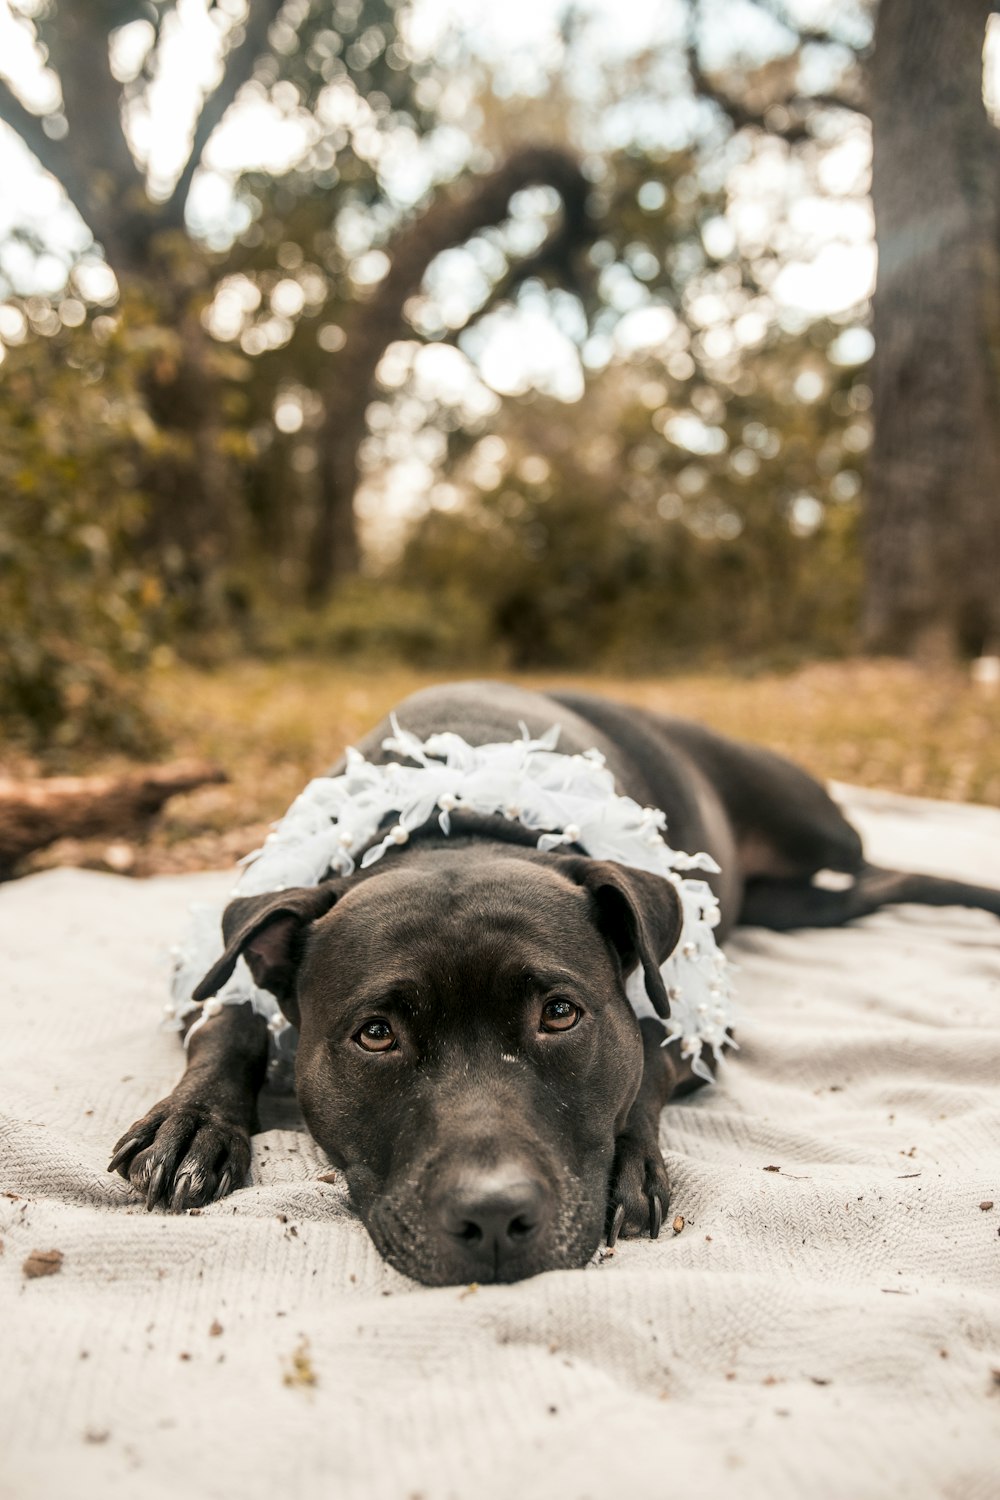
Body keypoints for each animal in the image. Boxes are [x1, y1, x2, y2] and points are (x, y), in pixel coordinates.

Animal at [109, 687, 1000, 1284]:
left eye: (561, 1015)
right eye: (376, 1034)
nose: (494, 1217)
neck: (453, 827)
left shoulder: (694, 1019)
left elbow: (644, 1059)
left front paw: (625, 1166)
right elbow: (227, 1022)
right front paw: (192, 1125)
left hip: (816, 828)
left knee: (878, 866)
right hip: (802, 899)